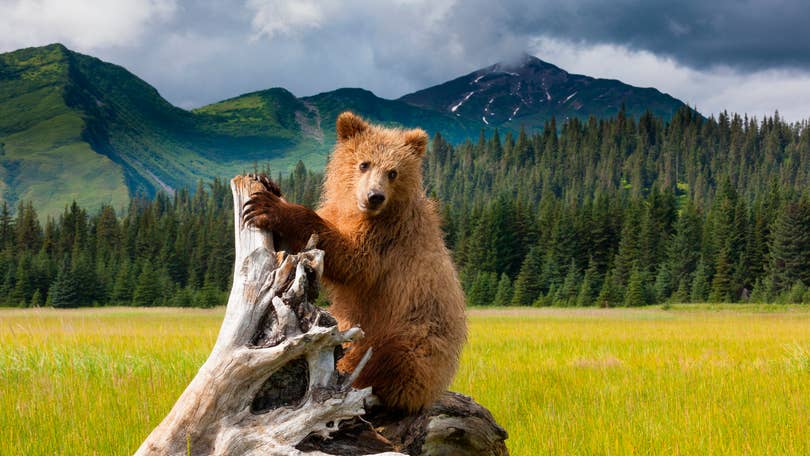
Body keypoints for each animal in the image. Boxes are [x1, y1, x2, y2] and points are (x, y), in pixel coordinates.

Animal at [243, 111, 464, 414]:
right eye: (364, 163)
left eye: (393, 172)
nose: (374, 196)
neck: (358, 211)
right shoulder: (340, 213)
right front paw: (267, 183)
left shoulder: (386, 237)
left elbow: (354, 261)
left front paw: (271, 207)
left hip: (416, 335)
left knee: (392, 359)